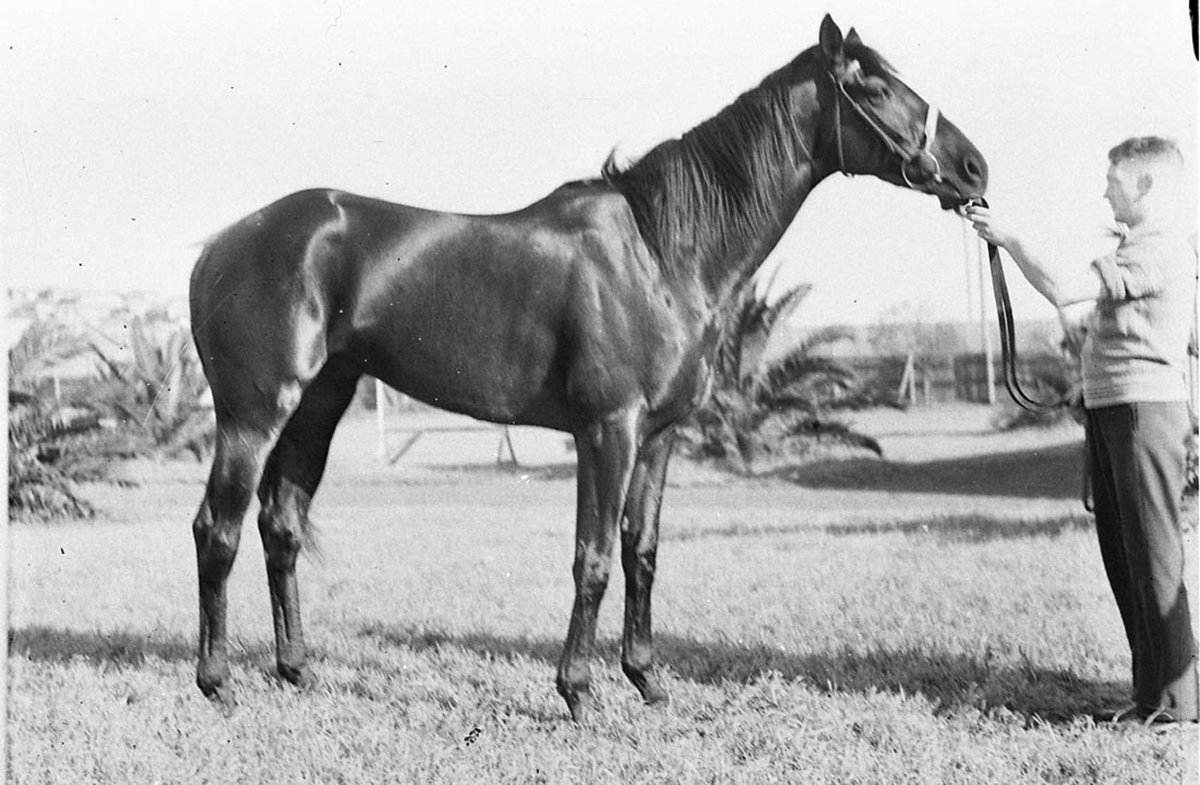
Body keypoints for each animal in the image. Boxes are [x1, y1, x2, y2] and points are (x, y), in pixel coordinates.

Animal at [188, 14, 987, 723]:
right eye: (874, 87)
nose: (974, 167)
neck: (662, 250)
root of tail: (217, 245)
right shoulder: (608, 430)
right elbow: (594, 556)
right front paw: (577, 692)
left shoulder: (659, 435)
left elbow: (642, 552)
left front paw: (648, 681)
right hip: (254, 414)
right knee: (216, 529)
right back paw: (217, 683)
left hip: (318, 405)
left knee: (281, 525)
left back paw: (296, 671)